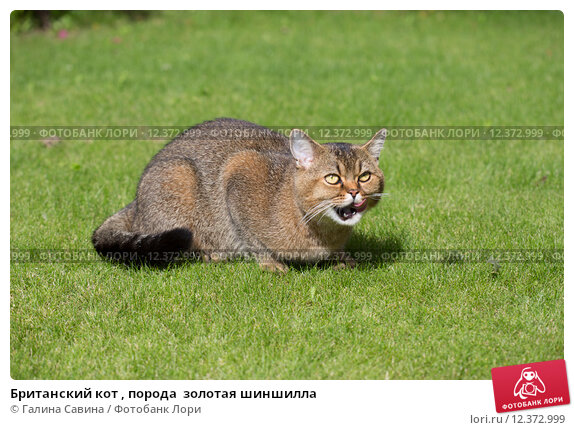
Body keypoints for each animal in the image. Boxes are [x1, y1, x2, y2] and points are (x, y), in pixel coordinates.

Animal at [93, 117, 388, 272]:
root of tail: (135, 204)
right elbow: (250, 236)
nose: (355, 192)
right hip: (179, 175)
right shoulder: (238, 170)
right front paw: (270, 263)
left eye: (364, 176)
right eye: (333, 178)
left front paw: (342, 258)